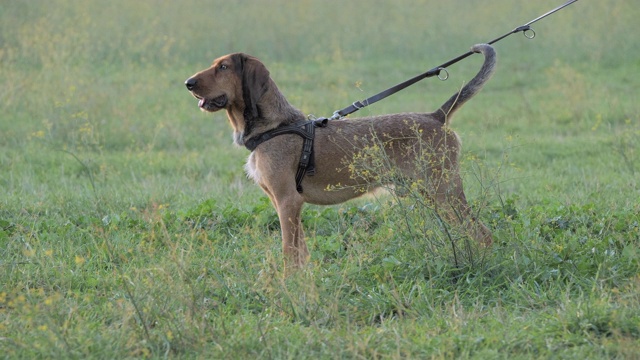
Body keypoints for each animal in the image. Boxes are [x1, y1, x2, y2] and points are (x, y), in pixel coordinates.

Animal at [185, 43, 496, 266]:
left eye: (223, 67)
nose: (188, 83)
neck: (275, 126)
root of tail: (437, 116)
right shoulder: (284, 204)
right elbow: (301, 252)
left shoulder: (287, 202)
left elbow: (289, 252)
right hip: (433, 194)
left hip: (444, 191)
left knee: (482, 233)